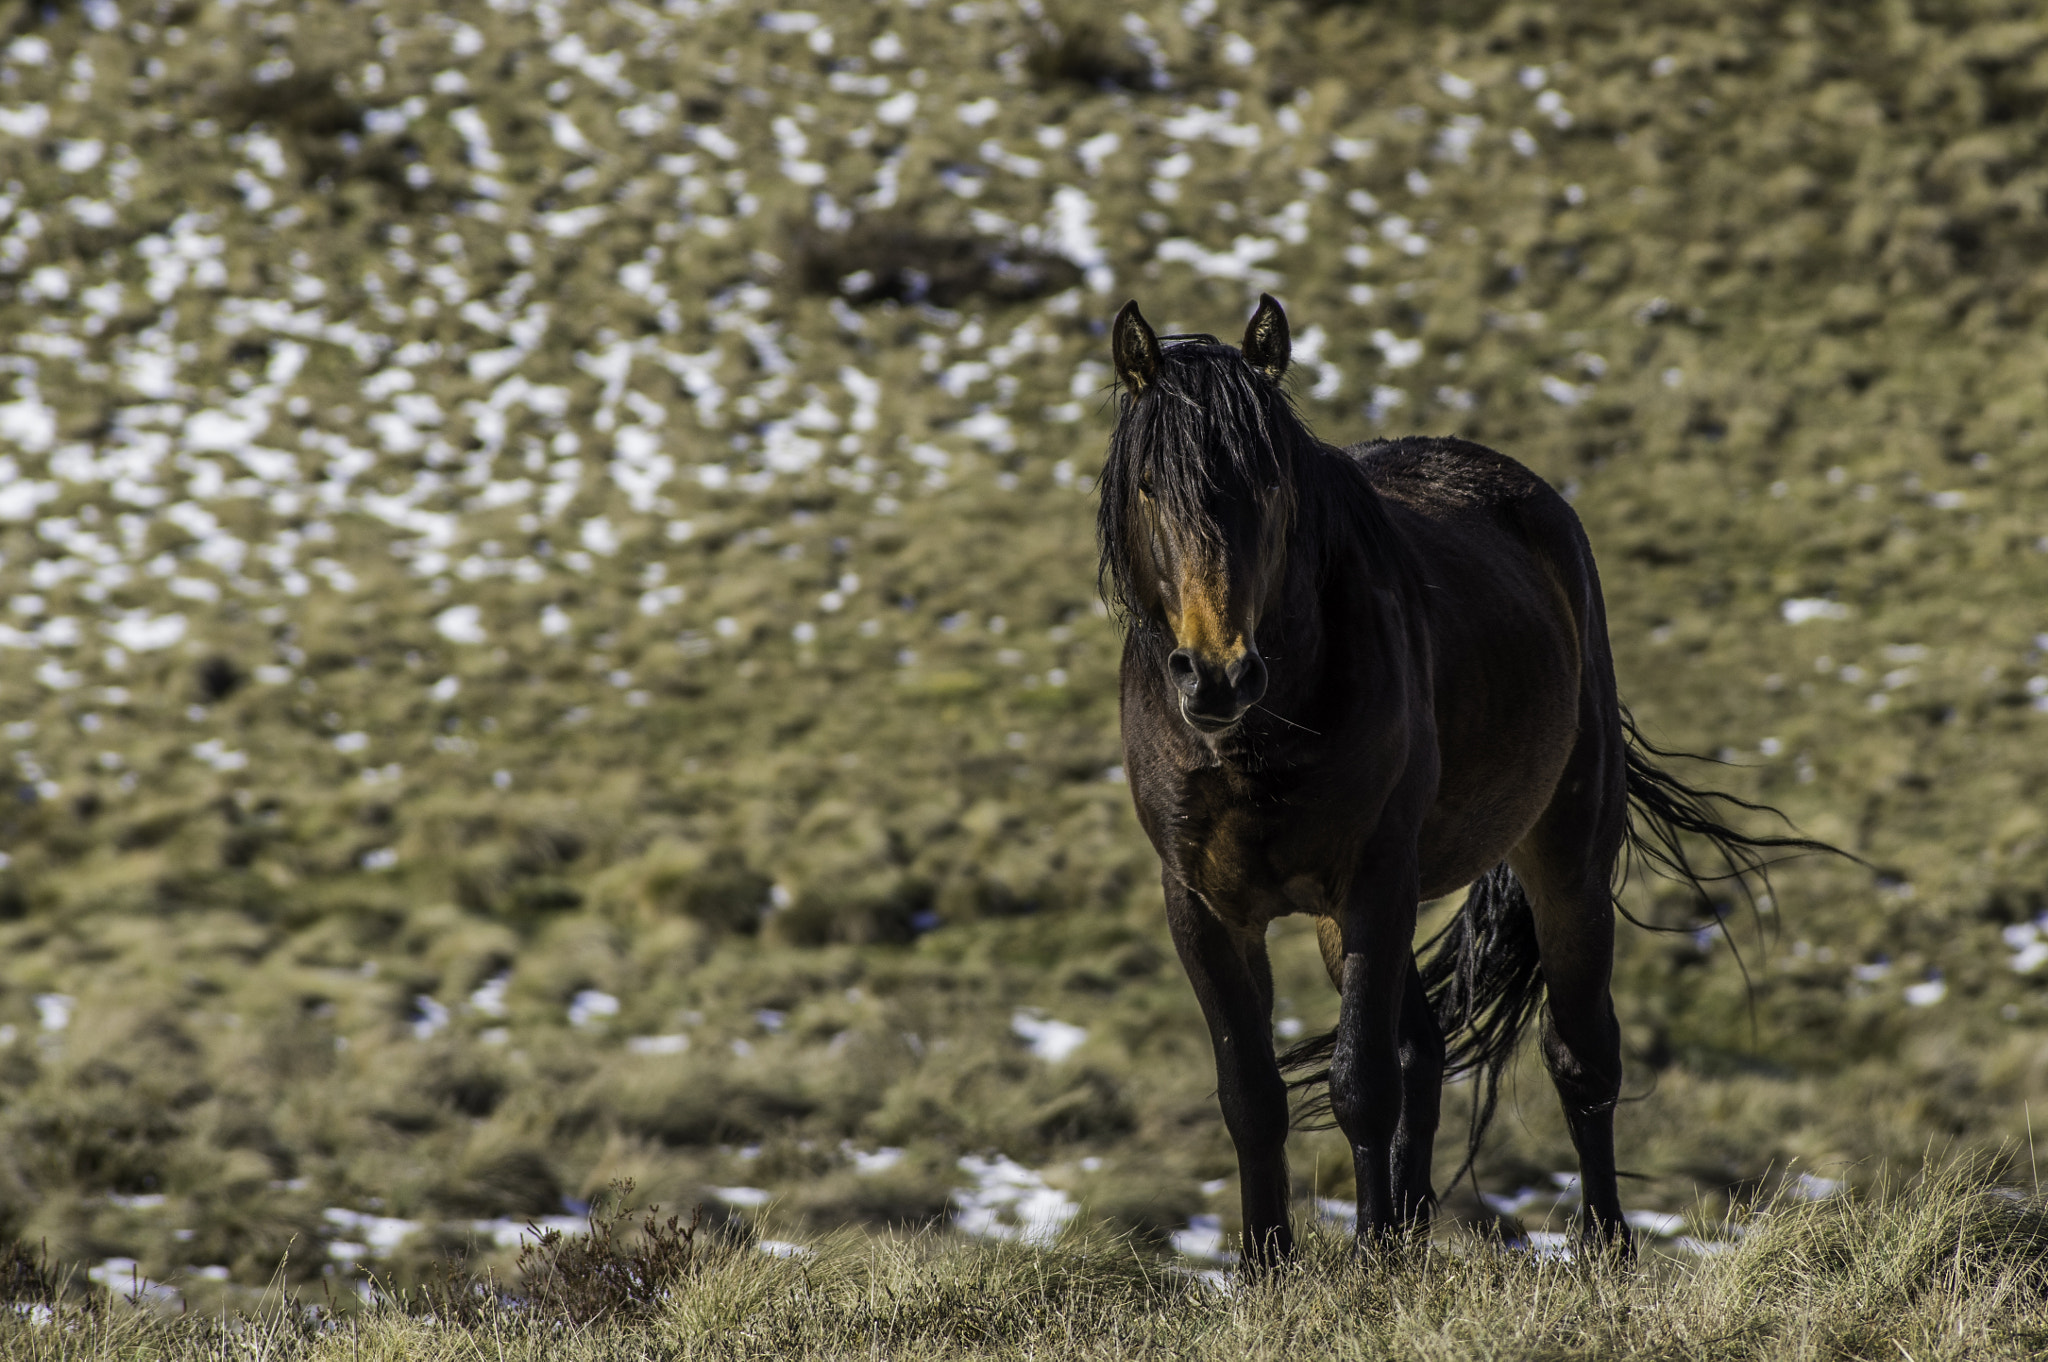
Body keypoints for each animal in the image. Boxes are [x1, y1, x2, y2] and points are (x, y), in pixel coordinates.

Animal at [1097, 292, 1818, 1261]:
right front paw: (1268, 1268)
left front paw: (1366, 1261)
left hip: (1564, 859)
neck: (1263, 736)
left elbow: (1361, 1083)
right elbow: (1253, 1098)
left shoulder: (1372, 882)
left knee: (1579, 1054)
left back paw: (1603, 1246)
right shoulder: (1206, 906)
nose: (1216, 675)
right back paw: (1411, 1232)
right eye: (1147, 487)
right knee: (1426, 1052)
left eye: (1271, 485)